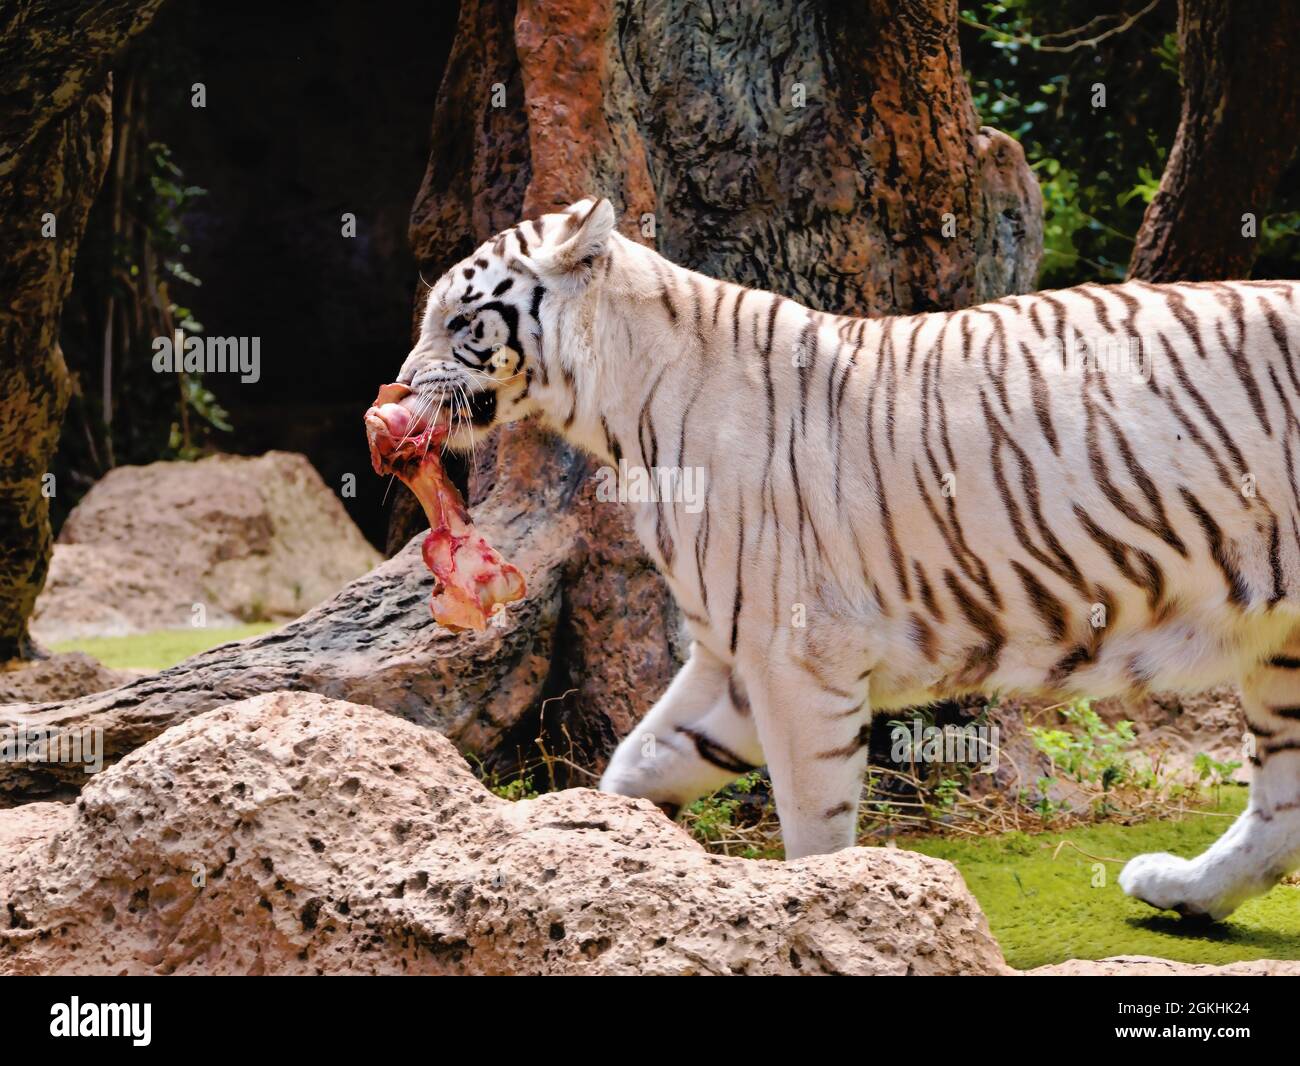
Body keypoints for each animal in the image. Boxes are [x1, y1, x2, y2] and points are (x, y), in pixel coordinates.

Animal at [395, 196, 1300, 920]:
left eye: (461, 321)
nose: (398, 391)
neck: (620, 412)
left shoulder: (798, 658)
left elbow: (813, 827)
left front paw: (834, 911)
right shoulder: (734, 657)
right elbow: (641, 760)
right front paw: (601, 848)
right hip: (1284, 651)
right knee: (1281, 807)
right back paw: (1184, 893)